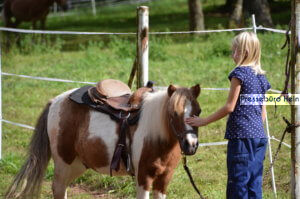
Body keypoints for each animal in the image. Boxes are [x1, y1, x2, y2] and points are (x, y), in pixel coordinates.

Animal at [5, 84, 202, 199]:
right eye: (174, 113)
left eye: (198, 112)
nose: (190, 145)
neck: (156, 135)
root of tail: (55, 101)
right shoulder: (143, 177)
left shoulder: (164, 178)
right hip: (63, 162)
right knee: (58, 188)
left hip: (77, 165)